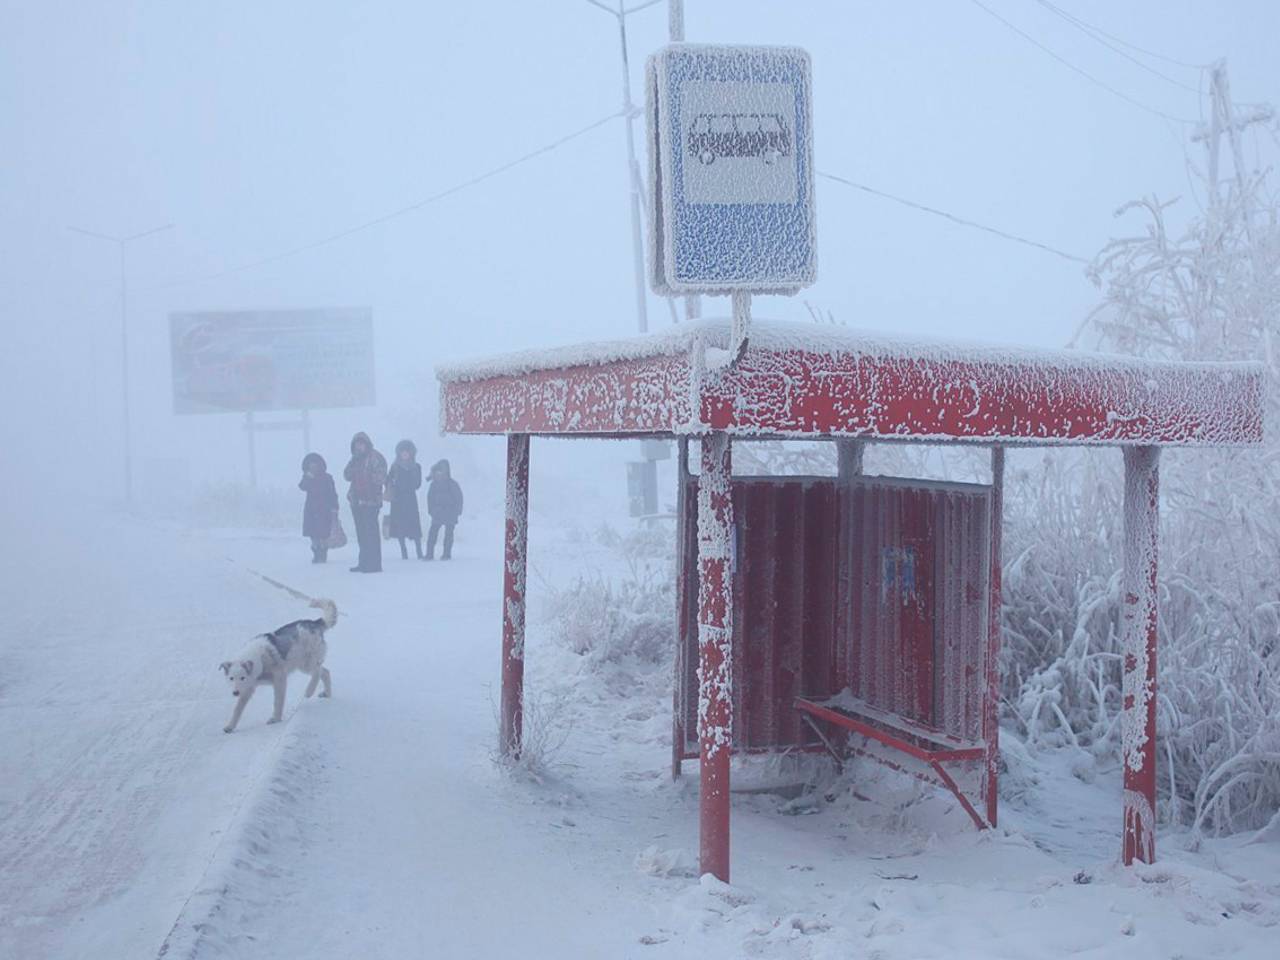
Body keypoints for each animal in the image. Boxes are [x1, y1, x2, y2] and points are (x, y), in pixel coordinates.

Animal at [221, 601, 337, 737]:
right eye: (231, 678)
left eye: (242, 677)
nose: (235, 693)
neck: (260, 658)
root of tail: (314, 622)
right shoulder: (248, 689)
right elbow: (237, 710)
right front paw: (229, 727)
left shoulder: (280, 680)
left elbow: (278, 701)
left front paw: (275, 719)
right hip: (305, 664)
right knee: (325, 672)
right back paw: (327, 694)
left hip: (306, 664)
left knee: (318, 672)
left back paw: (309, 690)